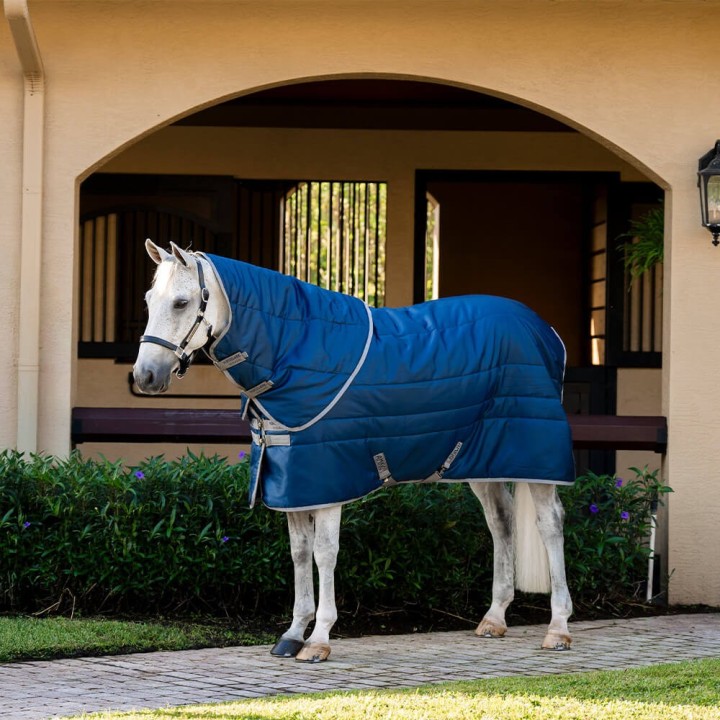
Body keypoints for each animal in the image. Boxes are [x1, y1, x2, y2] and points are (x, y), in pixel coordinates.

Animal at [133, 239, 575, 663]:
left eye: (181, 302)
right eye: (149, 299)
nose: (145, 376)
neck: (292, 351)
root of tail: (547, 331)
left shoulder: (327, 481)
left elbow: (324, 554)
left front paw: (318, 640)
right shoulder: (293, 482)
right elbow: (299, 553)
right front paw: (292, 634)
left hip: (535, 458)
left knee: (550, 524)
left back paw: (558, 629)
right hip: (482, 460)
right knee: (501, 522)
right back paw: (494, 618)